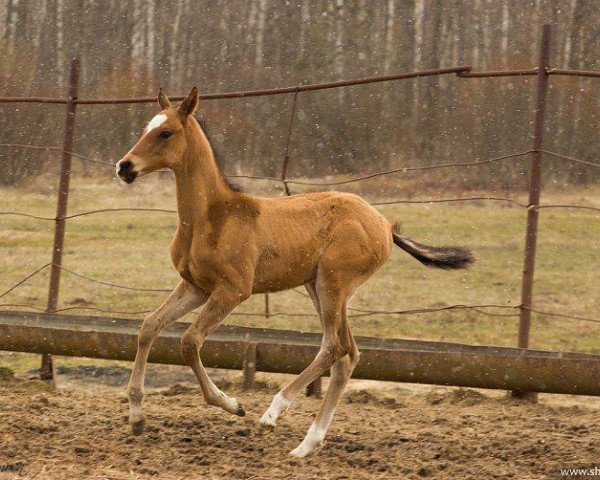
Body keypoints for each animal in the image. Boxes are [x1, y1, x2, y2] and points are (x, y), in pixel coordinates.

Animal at [117, 88, 474, 460]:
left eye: (166, 132)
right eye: (145, 128)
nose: (124, 167)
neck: (213, 217)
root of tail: (385, 225)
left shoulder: (233, 290)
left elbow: (189, 342)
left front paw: (232, 404)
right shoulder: (195, 287)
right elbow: (149, 327)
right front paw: (137, 417)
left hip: (333, 283)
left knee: (333, 347)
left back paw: (272, 414)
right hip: (321, 288)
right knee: (348, 353)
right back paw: (307, 445)